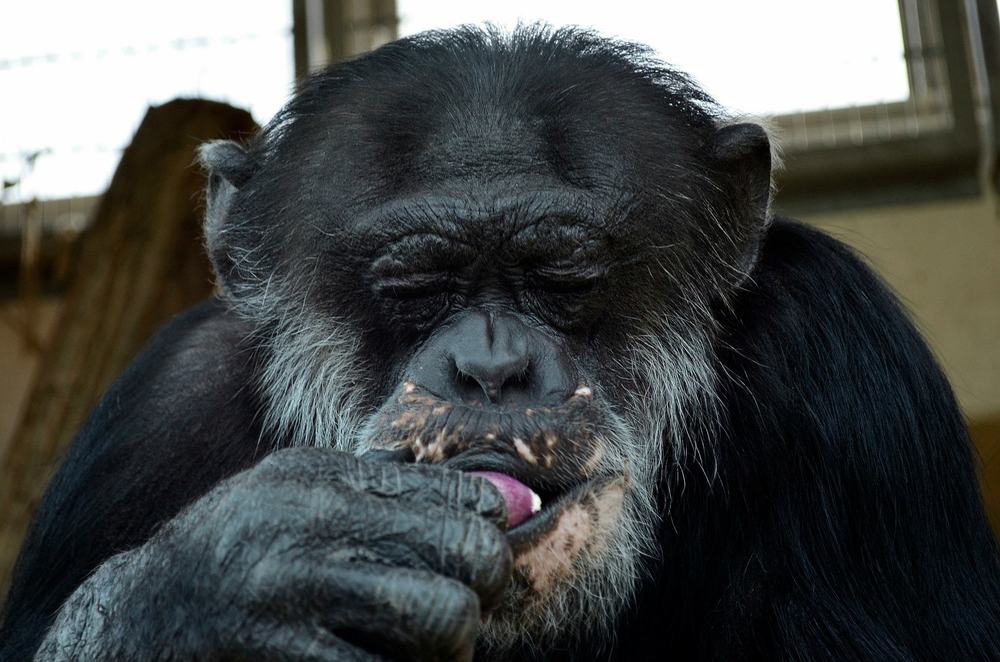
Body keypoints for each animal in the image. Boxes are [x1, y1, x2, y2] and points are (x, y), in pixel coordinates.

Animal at [1, 24, 1000, 662]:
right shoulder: (159, 410)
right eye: (417, 283)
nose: (490, 366)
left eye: (563, 275)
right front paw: (227, 582)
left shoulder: (844, 349)